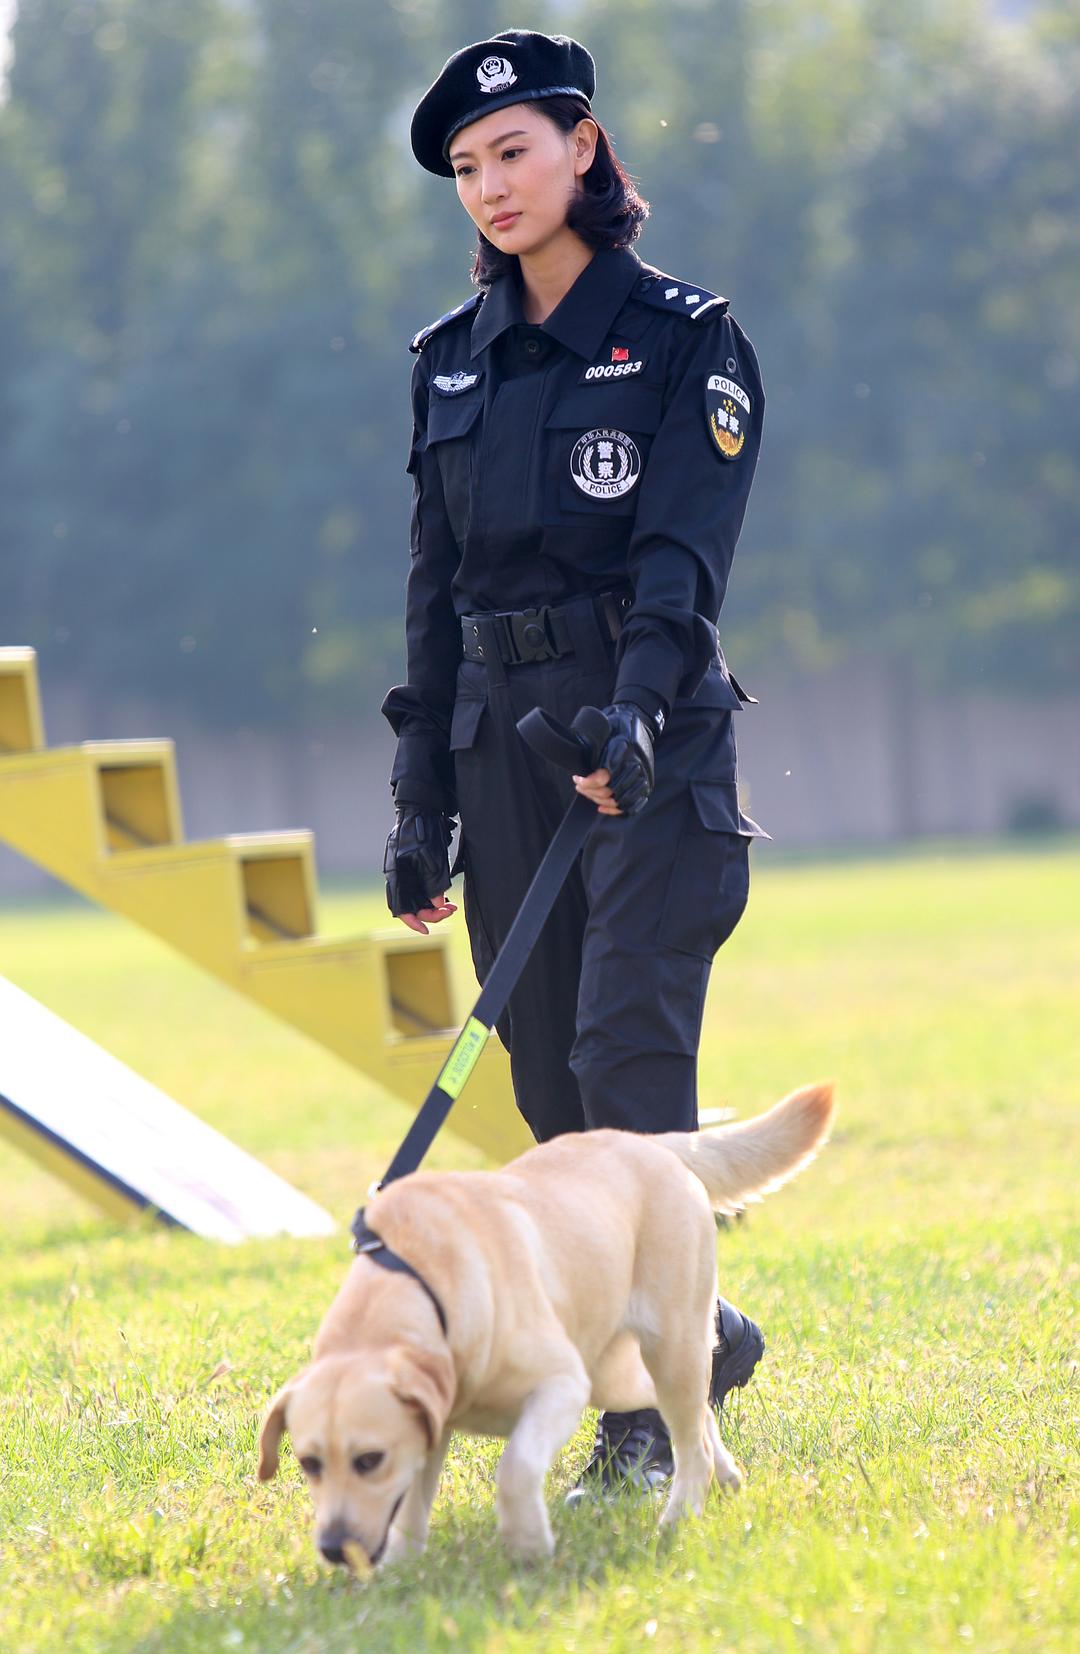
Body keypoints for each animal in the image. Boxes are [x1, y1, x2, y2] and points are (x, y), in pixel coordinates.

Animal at [261, 1078, 833, 1567]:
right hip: (616, 1373)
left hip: (664, 1346)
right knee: (692, 1417)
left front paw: (528, 1544)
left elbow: (514, 1467)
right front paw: (401, 1567)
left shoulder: (561, 1385)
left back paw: (678, 1519)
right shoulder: (432, 1422)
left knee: (690, 1441)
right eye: (309, 1463)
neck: (422, 1282)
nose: (334, 1550)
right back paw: (728, 1475)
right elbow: (413, 1504)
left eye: (369, 1459)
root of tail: (655, 1145)